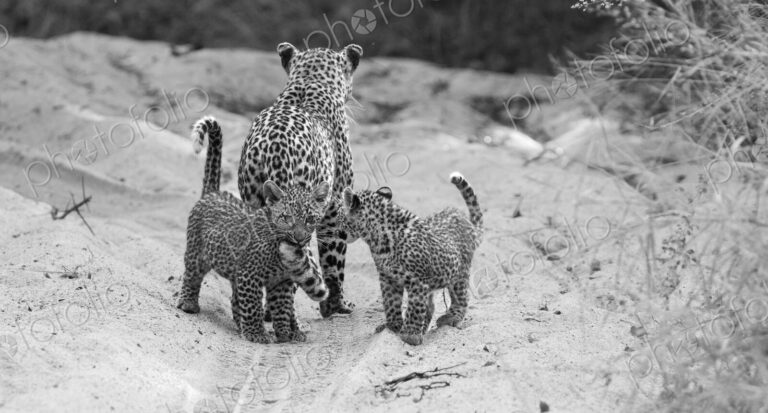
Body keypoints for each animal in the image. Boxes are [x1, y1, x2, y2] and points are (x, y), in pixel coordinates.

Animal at [176, 116, 330, 344]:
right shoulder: (250, 274)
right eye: (287, 218)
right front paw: (257, 334)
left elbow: (282, 307)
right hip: (197, 251)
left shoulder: (281, 283)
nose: (299, 238)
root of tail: (212, 193)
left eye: (310, 219)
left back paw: (239, 324)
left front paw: (286, 334)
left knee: (233, 298)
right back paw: (188, 304)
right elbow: (254, 306)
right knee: (192, 275)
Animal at [237, 42, 363, 318]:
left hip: (252, 202)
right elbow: (334, 260)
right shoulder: (335, 207)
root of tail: (271, 147)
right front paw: (336, 306)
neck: (309, 80)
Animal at [341, 172, 483, 346]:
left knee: (461, 297)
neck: (377, 239)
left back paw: (451, 318)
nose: (339, 233)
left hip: (459, 273)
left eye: (340, 215)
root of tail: (467, 222)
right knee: (431, 306)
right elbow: (391, 302)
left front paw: (410, 335)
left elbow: (415, 307)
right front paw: (393, 326)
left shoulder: (418, 281)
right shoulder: (387, 277)